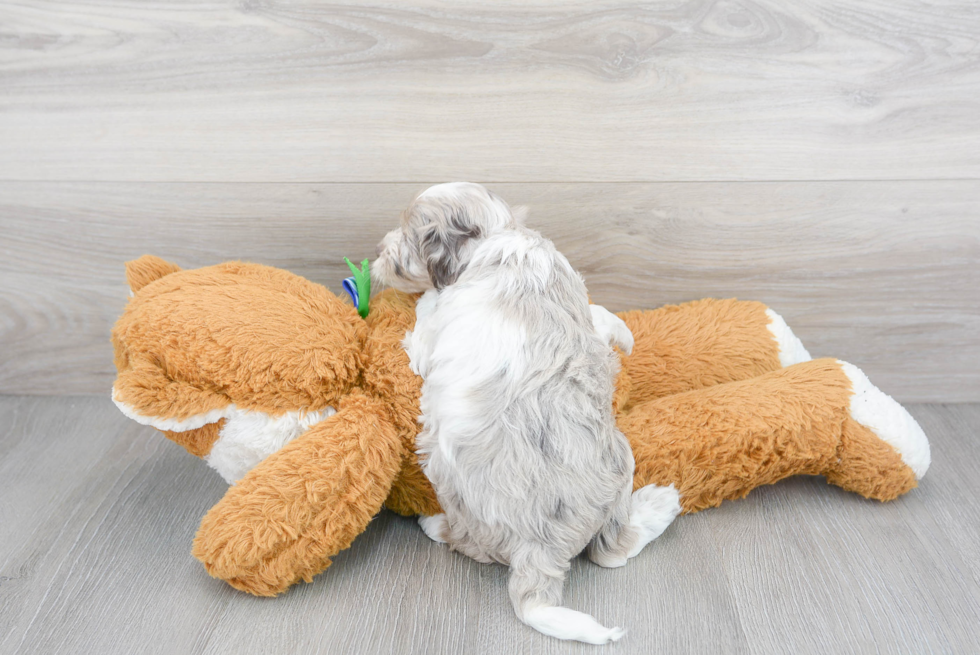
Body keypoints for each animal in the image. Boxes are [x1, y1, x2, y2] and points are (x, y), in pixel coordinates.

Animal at [372, 182, 676, 644]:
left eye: (406, 240)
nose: (377, 250)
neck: (498, 233)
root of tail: (541, 548)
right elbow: (598, 314)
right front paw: (623, 336)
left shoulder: (430, 338)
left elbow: (427, 315)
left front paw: (424, 299)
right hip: (622, 463)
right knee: (613, 551)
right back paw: (660, 505)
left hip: (446, 477)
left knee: (466, 541)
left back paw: (432, 523)